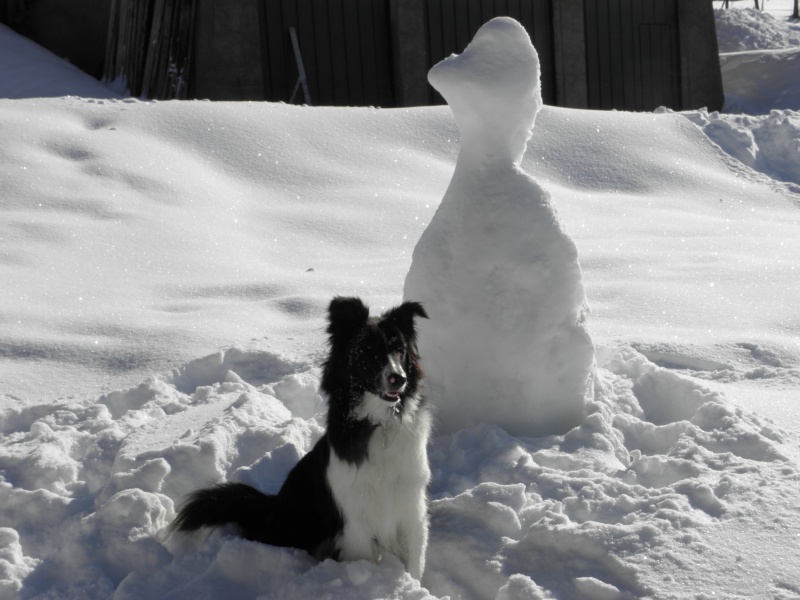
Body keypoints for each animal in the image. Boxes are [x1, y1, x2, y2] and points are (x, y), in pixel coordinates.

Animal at [170, 298, 432, 580]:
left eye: (399, 349)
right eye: (367, 349)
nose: (398, 378)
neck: (379, 424)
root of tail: (271, 508)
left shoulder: (410, 510)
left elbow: (415, 565)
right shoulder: (355, 524)